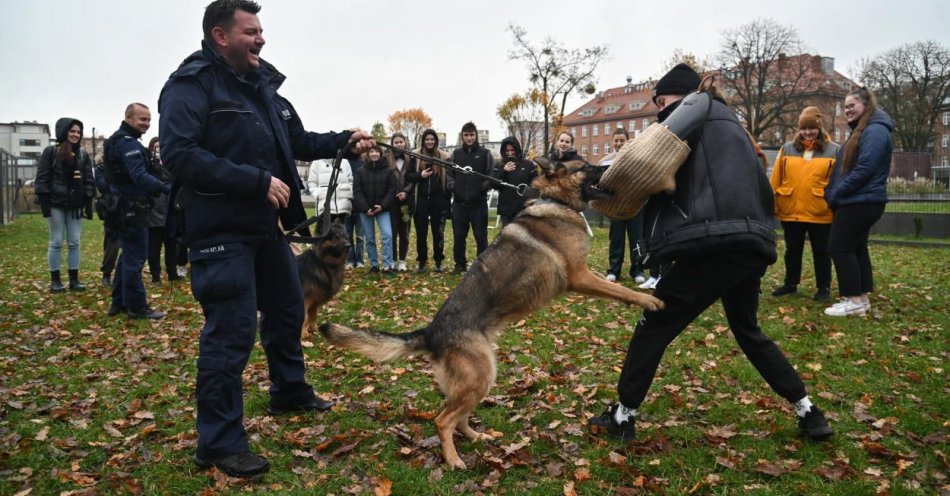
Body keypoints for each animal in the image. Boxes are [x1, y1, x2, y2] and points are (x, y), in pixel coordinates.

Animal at [320, 159, 660, 468]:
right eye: (587, 166)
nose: (611, 164)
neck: (555, 201)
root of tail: (431, 333)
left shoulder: (584, 275)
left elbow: (614, 287)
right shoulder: (580, 276)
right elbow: (619, 289)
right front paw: (649, 300)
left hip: (479, 379)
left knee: (458, 418)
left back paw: (476, 438)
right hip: (481, 375)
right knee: (443, 419)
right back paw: (453, 459)